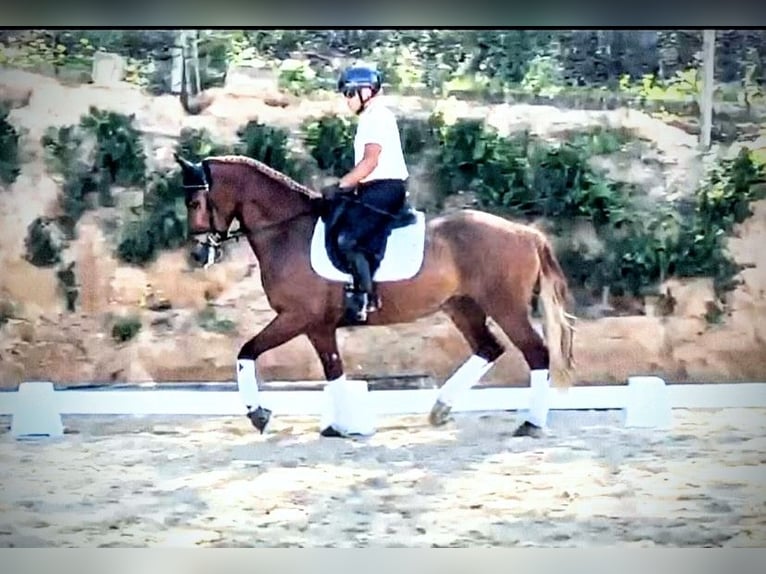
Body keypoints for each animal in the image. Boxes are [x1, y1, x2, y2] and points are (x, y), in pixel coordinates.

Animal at [174, 153, 576, 438]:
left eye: (195, 203)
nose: (196, 254)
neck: (288, 232)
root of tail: (525, 233)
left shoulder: (300, 318)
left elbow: (248, 353)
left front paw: (261, 414)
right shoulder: (317, 326)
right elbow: (333, 371)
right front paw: (340, 425)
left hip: (505, 306)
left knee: (536, 352)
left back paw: (532, 423)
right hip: (462, 306)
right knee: (489, 348)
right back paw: (440, 409)